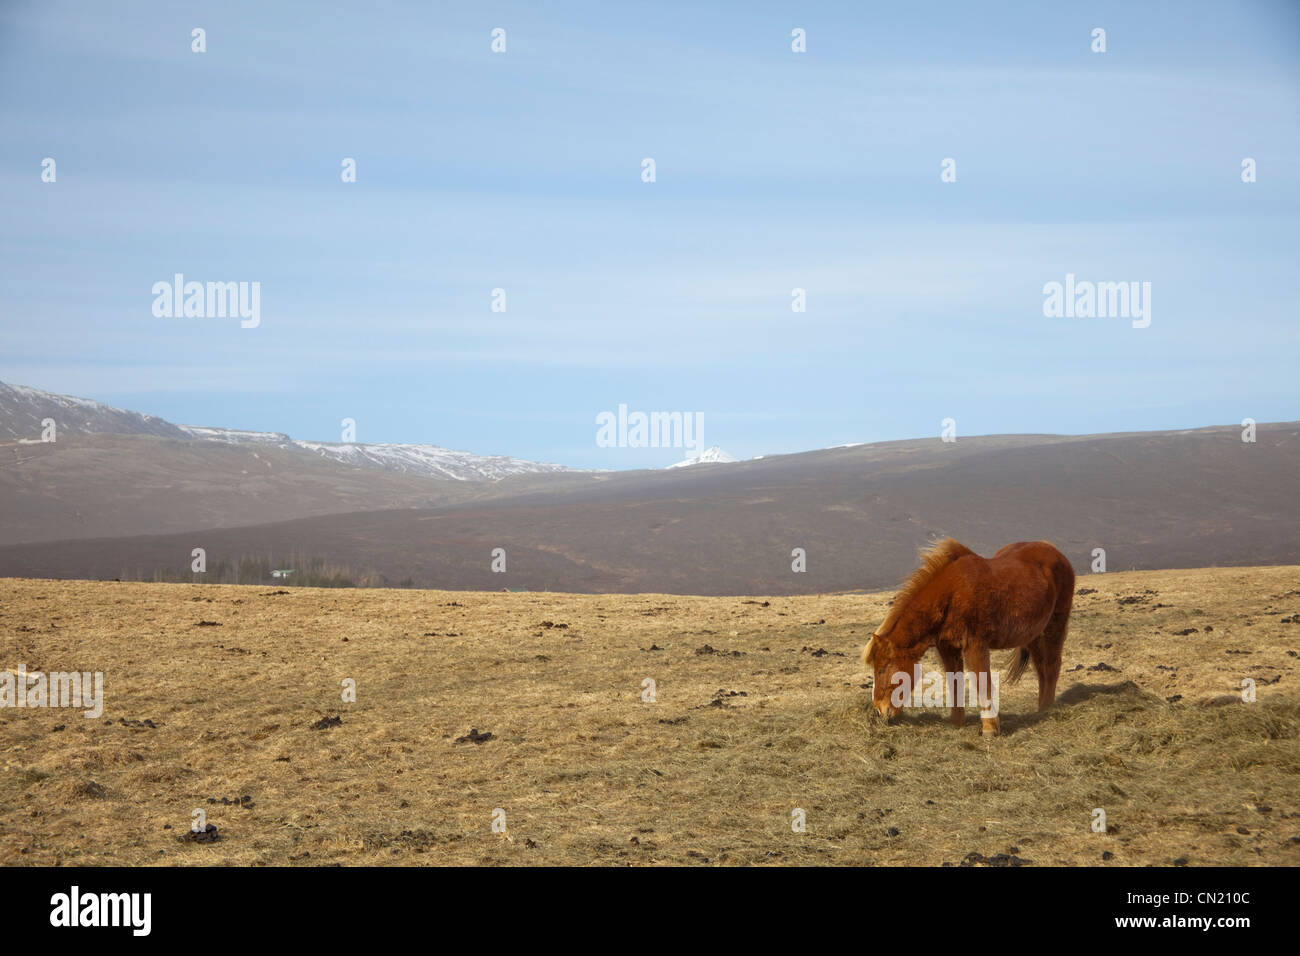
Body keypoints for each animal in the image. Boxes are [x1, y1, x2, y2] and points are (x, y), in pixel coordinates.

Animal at [861, 538, 1075, 736]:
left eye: (882, 669)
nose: (879, 710)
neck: (951, 594)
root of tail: (1055, 552)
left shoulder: (975, 645)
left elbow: (982, 682)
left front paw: (990, 729)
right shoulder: (947, 648)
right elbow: (954, 682)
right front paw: (956, 723)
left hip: (1054, 626)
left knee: (1052, 666)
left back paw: (1047, 710)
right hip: (1034, 636)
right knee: (1041, 669)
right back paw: (1040, 709)